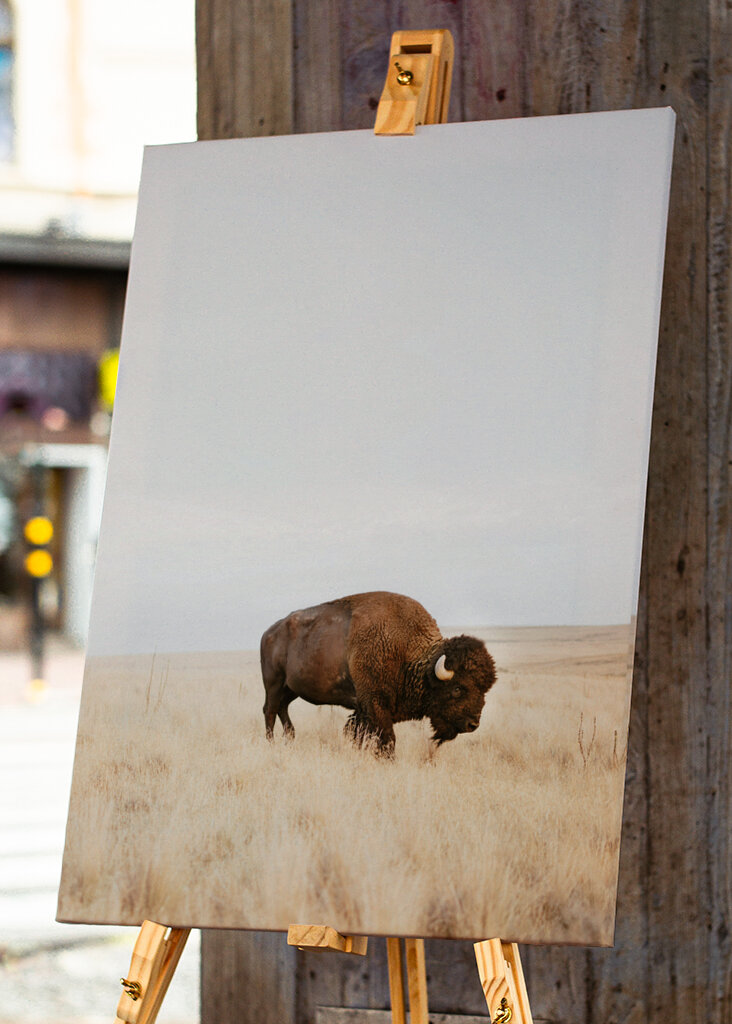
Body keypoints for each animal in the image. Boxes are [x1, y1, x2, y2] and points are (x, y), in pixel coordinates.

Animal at [260, 591, 496, 755]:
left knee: (282, 709)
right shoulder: (375, 704)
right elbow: (387, 739)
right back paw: (271, 743)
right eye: (457, 688)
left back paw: (290, 739)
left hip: (291, 689)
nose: (473, 724)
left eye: (484, 690)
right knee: (270, 711)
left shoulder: (364, 709)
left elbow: (359, 734)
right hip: (274, 684)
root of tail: (269, 632)